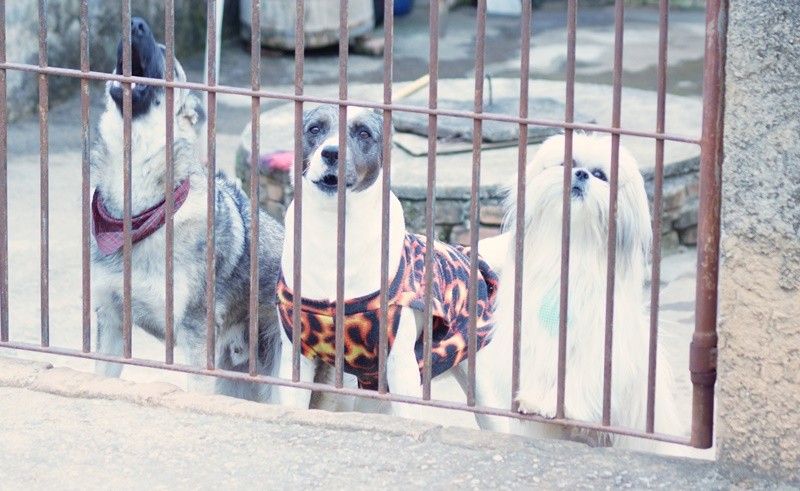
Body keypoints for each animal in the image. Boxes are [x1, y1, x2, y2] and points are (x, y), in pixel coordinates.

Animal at [276, 104, 506, 430]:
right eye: (314, 129)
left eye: (363, 133)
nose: (332, 153)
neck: (334, 231)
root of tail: (469, 255)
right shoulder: (296, 358)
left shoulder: (401, 366)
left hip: (481, 384)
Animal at [478, 134, 692, 454]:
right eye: (568, 162)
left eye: (601, 175)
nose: (580, 174)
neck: (574, 246)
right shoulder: (532, 331)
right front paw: (534, 401)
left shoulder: (597, 341)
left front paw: (559, 407)